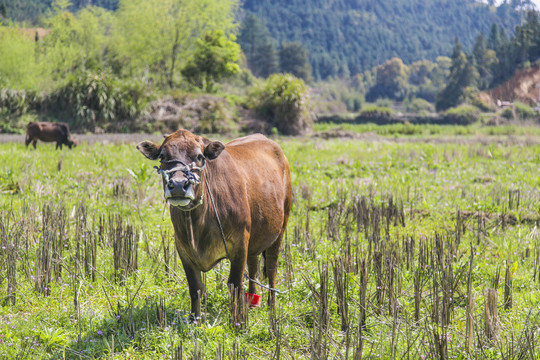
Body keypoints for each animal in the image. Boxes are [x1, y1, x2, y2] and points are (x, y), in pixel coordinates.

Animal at [137, 129, 294, 318]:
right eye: (162, 156)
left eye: (199, 156)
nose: (179, 185)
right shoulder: (183, 249)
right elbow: (195, 288)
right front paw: (195, 319)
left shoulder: (240, 244)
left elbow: (234, 285)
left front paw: (237, 320)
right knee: (254, 265)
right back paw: (252, 302)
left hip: (281, 228)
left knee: (271, 267)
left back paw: (272, 307)